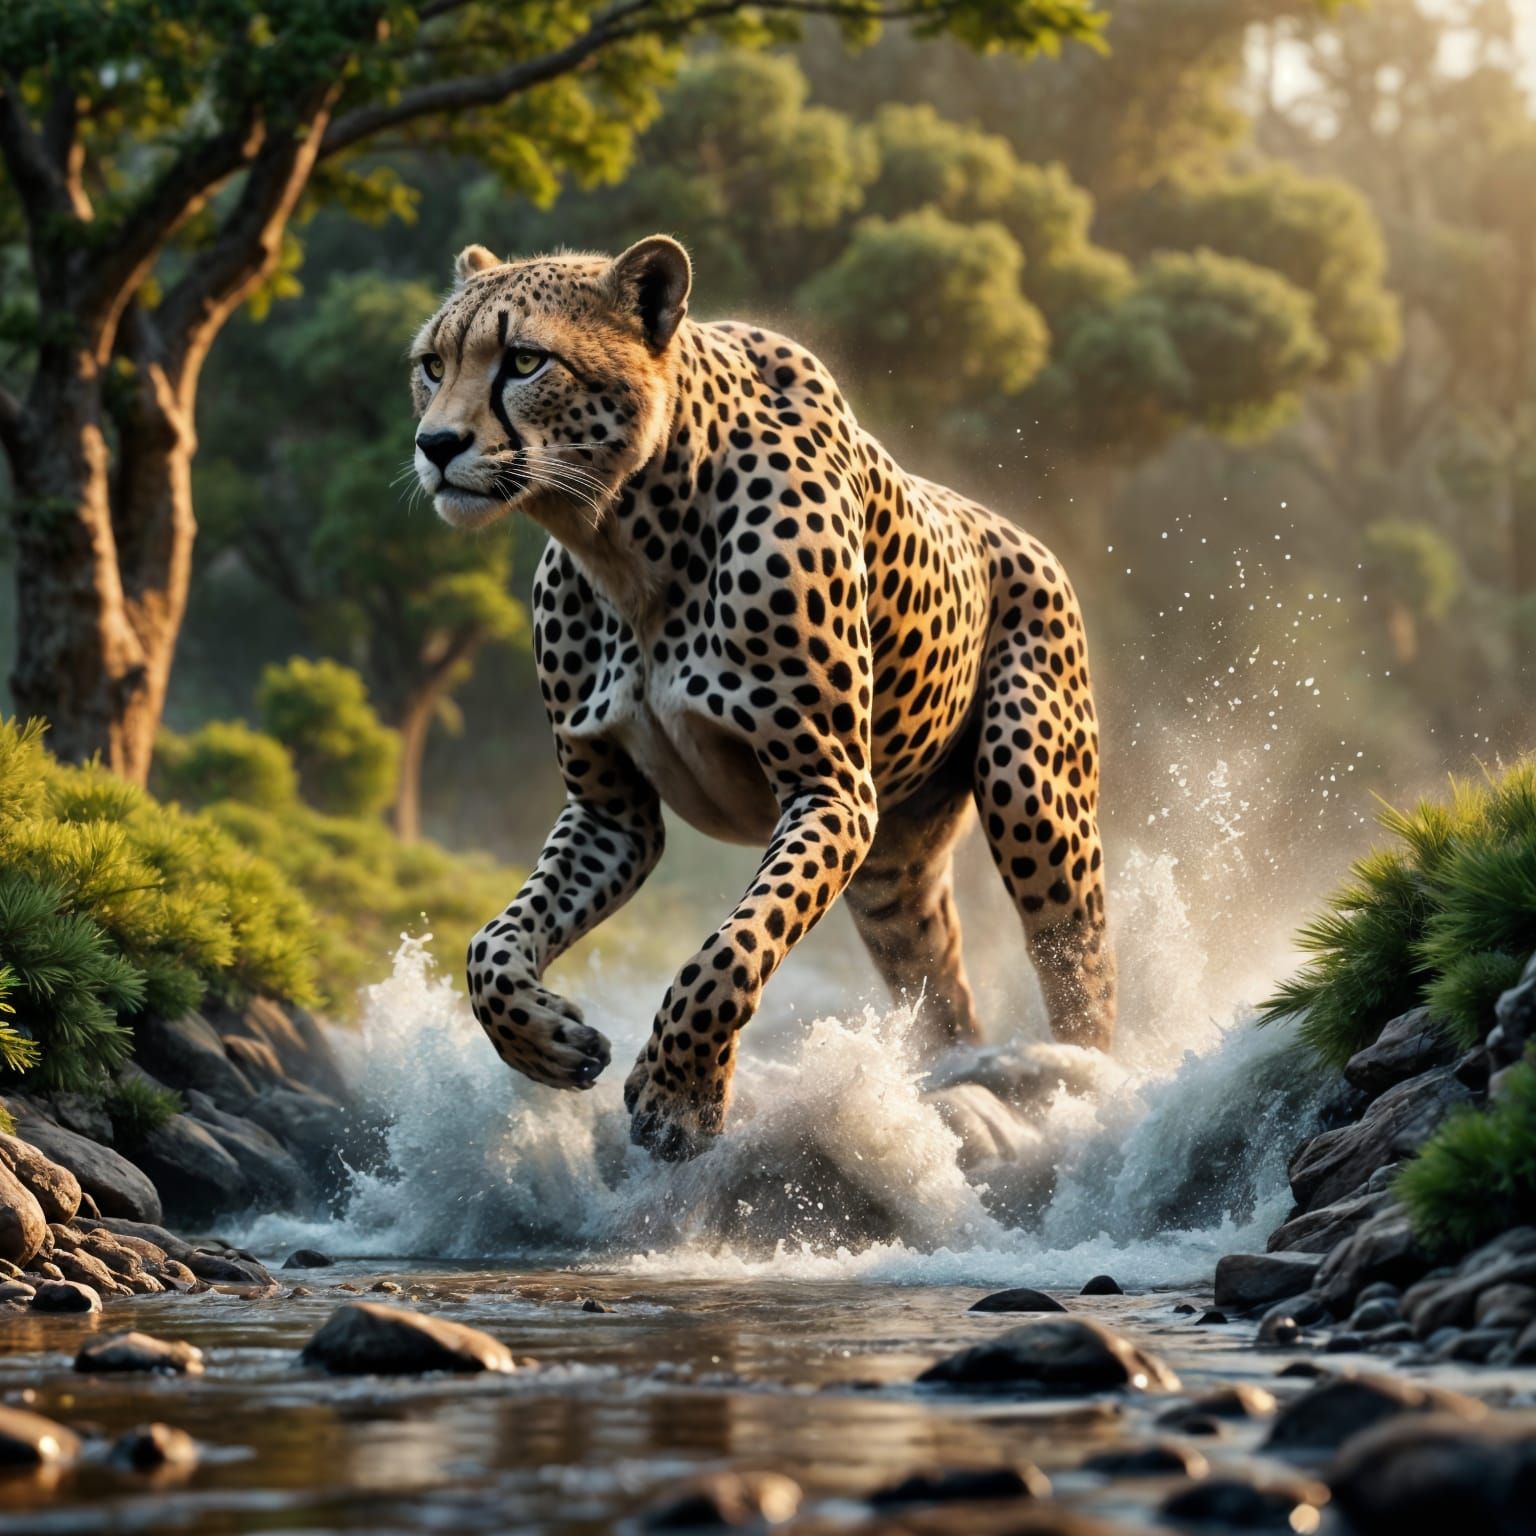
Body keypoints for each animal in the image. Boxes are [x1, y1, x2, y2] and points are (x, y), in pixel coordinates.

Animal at [409, 234, 1116, 1160]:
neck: (625, 537)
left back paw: (1087, 1090)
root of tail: (1024, 538)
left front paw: (677, 1097)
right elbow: (491, 944)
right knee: (944, 998)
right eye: (431, 364)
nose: (435, 442)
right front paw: (545, 1037)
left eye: (525, 361)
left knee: (1081, 973)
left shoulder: (829, 791)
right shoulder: (611, 814)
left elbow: (732, 950)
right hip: (895, 882)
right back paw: (956, 1089)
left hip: (1032, 800)